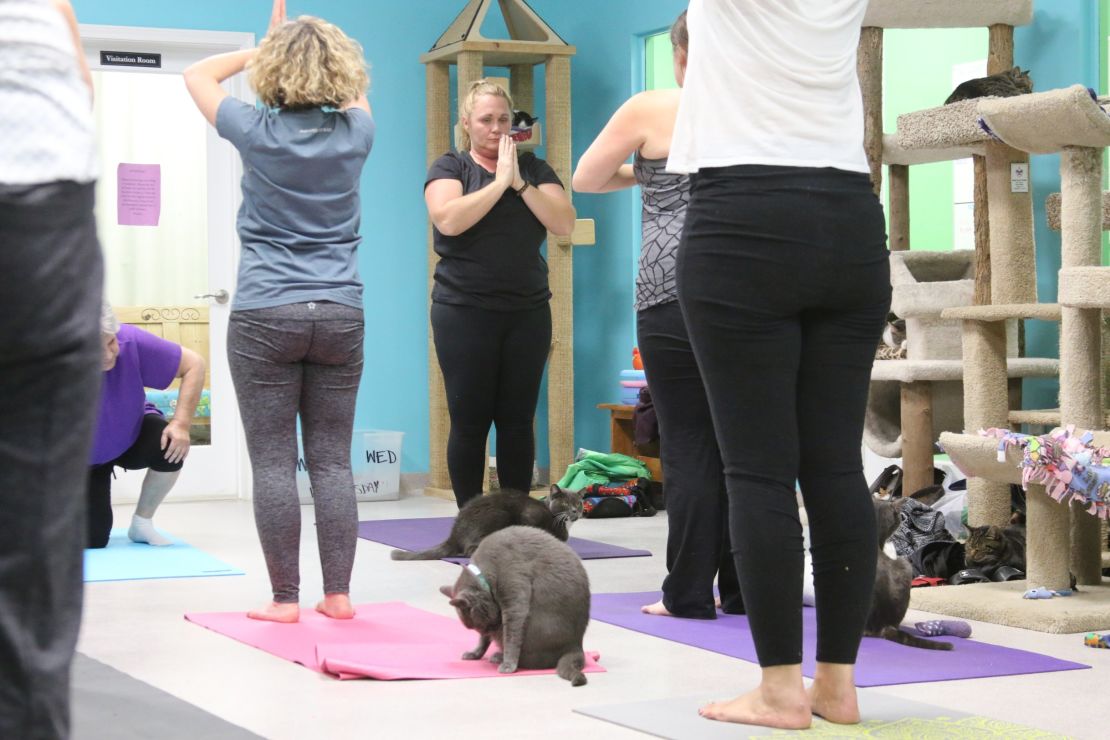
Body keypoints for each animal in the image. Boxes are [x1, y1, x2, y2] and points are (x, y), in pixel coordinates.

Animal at [390, 485, 586, 561]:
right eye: (565, 504)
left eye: (578, 503)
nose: (575, 511)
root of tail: (454, 533)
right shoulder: (529, 515)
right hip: (498, 516)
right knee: (470, 551)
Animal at [435, 523, 590, 687]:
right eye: (480, 628)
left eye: (483, 624)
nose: (490, 631)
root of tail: (576, 645)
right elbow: (483, 641)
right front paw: (475, 653)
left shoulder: (514, 595)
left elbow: (511, 637)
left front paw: (508, 664)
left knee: (536, 660)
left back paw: (499, 657)